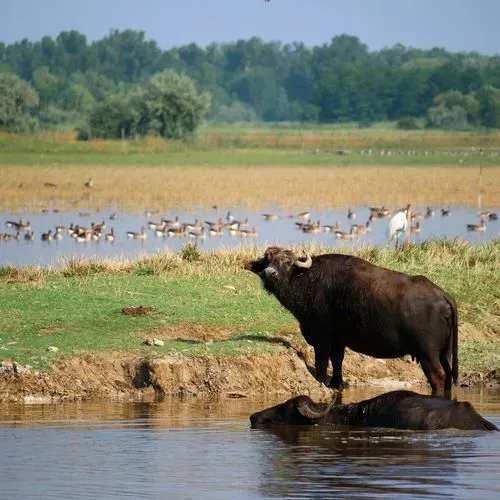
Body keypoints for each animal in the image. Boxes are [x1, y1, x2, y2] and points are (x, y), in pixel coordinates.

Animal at [244, 246, 458, 394]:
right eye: (267, 260)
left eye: (287, 261)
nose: (269, 273)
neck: (306, 278)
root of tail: (442, 295)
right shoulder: (339, 339)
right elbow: (337, 359)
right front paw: (336, 384)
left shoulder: (322, 336)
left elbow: (322, 361)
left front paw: (322, 382)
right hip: (444, 353)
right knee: (448, 374)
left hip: (428, 354)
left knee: (437, 376)